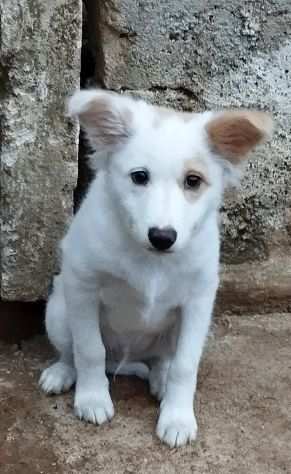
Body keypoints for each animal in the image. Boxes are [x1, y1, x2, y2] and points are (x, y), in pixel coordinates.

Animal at [39, 90, 274, 448]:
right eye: (139, 177)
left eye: (193, 181)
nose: (162, 237)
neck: (152, 260)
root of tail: (125, 358)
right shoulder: (83, 285)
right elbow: (89, 349)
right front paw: (92, 399)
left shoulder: (199, 301)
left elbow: (185, 366)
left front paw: (177, 417)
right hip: (58, 310)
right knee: (72, 351)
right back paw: (62, 373)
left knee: (163, 360)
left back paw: (160, 381)